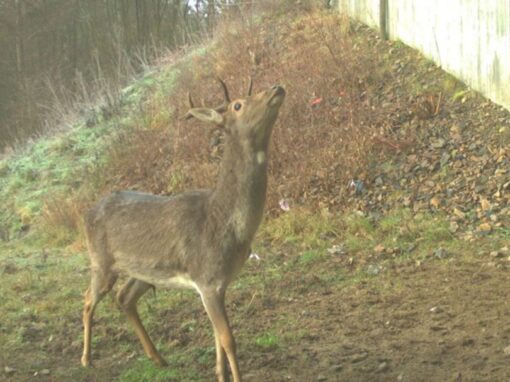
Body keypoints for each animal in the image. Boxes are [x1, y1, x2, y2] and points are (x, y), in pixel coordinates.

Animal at [81, 78, 284, 382]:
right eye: (238, 105)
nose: (276, 88)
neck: (223, 221)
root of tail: (88, 213)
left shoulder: (217, 284)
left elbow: (218, 337)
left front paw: (220, 374)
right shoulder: (207, 278)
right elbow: (228, 340)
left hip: (142, 271)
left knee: (124, 298)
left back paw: (158, 358)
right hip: (101, 262)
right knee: (87, 301)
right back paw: (86, 358)